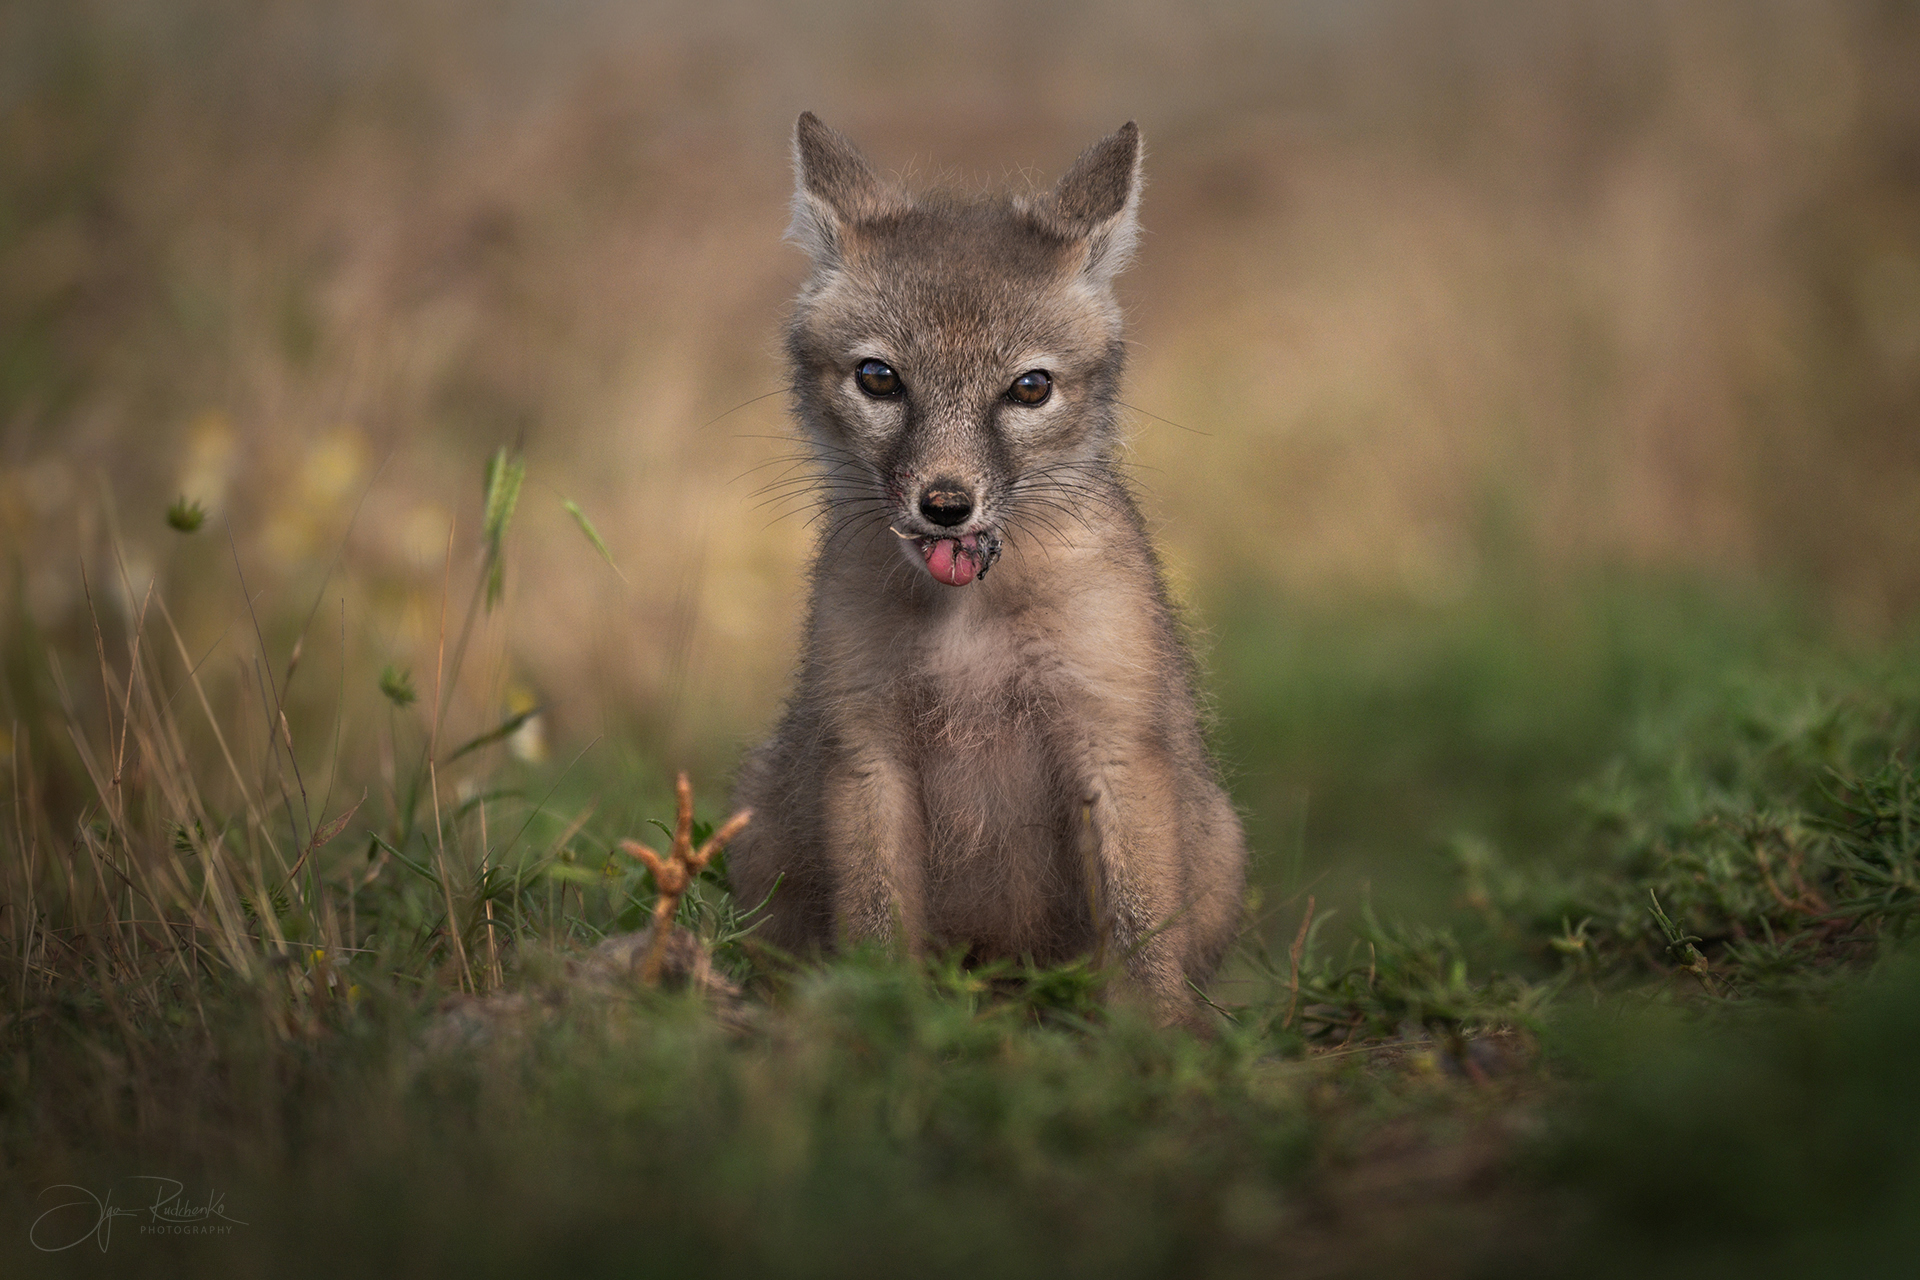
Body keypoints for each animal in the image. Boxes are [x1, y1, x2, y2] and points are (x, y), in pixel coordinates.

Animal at [726, 113, 1247, 1022]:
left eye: (1029, 389)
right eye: (878, 378)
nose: (946, 504)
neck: (971, 637)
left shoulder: (1113, 746)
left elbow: (1142, 927)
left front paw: (1151, 1042)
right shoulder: (867, 751)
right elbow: (876, 923)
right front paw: (882, 1026)